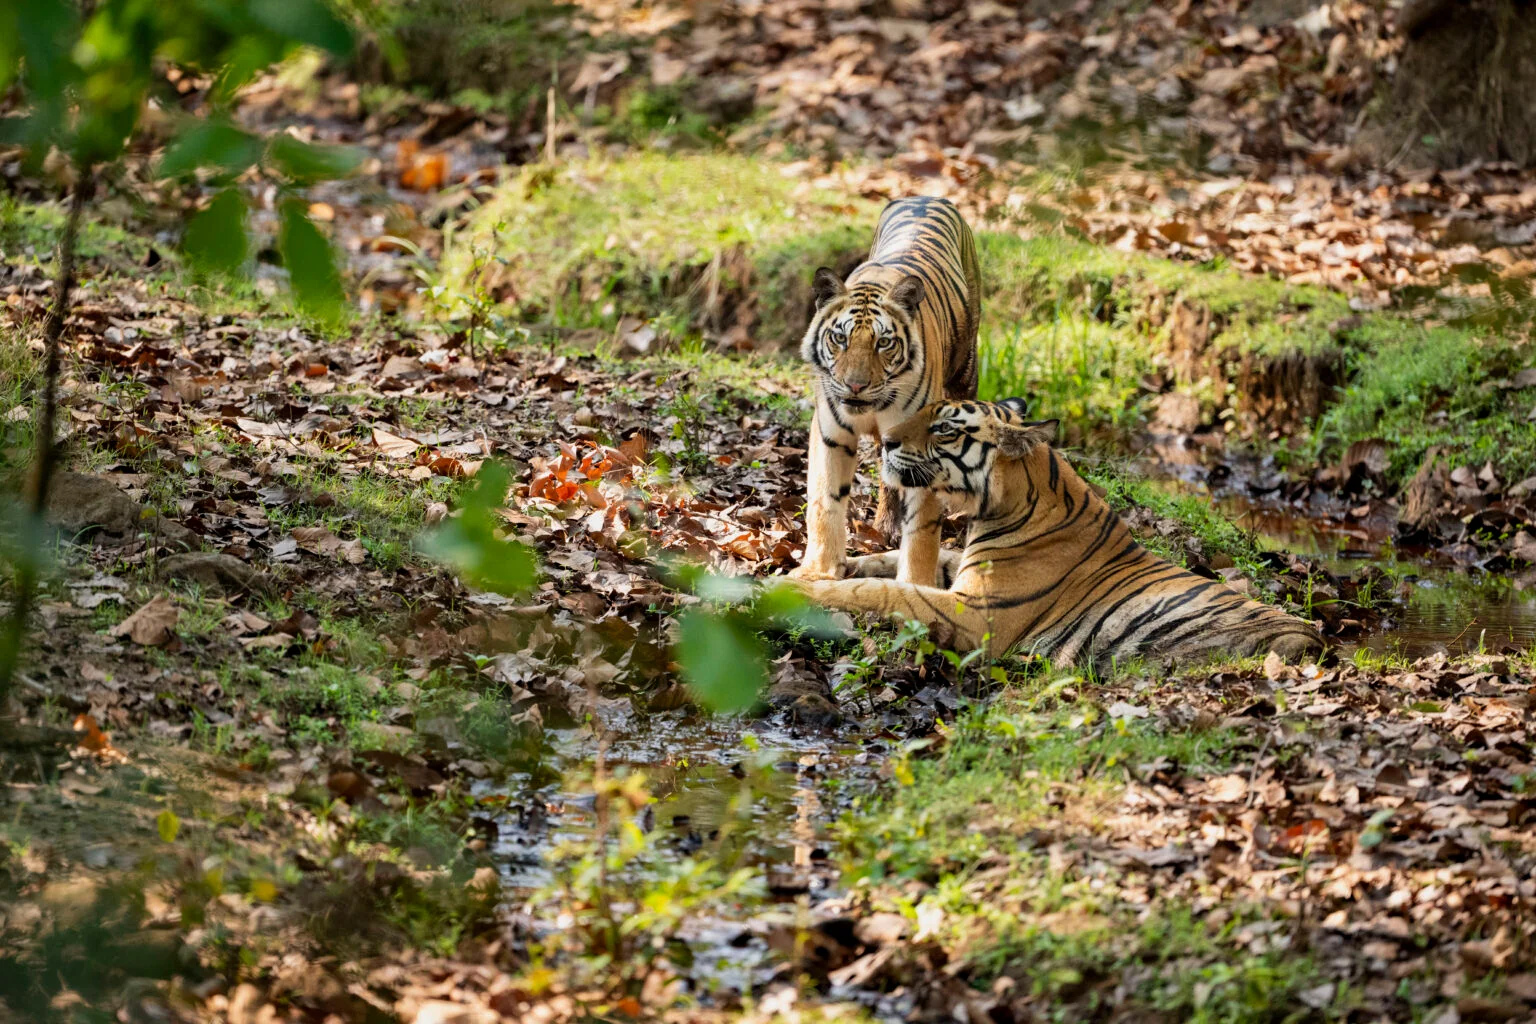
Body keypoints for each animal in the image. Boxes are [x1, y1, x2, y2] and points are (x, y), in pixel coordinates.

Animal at [787, 400, 1323, 670]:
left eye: (943, 428)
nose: (886, 443)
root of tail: (1318, 642)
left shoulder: (976, 613)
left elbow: (884, 591)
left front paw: (800, 587)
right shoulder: (963, 568)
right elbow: (897, 562)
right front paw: (825, 566)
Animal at [793, 196, 982, 589]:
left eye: (884, 342)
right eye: (840, 338)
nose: (855, 385)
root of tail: (930, 197)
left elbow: (923, 528)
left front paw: (916, 585)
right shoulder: (831, 434)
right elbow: (824, 500)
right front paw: (818, 571)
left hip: (965, 371)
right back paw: (886, 527)